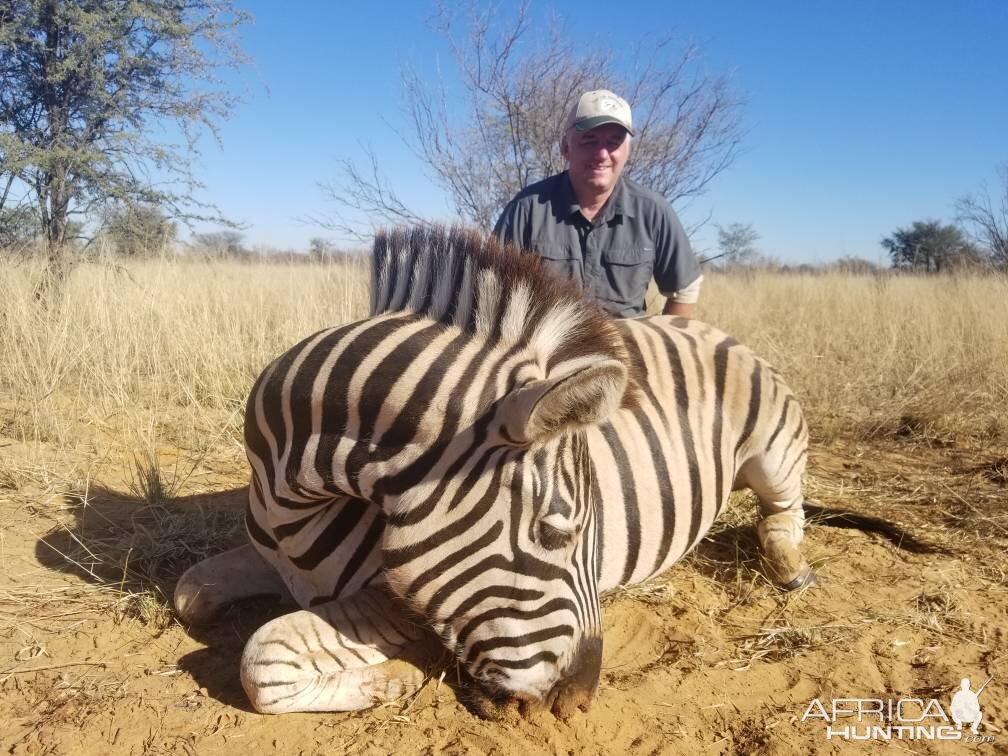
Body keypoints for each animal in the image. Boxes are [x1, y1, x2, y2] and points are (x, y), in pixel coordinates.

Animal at [173, 221, 818, 717]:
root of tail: (698, 324)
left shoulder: (396, 601)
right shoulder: (270, 559)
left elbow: (262, 657)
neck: (292, 510)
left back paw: (789, 565)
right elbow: (190, 595)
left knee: (784, 515)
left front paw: (400, 676)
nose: (579, 702)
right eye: (555, 533)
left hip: (773, 453)